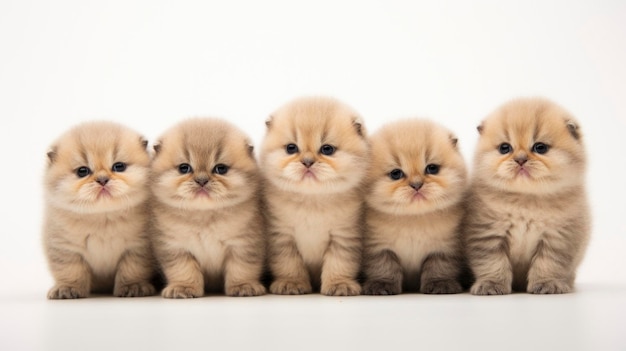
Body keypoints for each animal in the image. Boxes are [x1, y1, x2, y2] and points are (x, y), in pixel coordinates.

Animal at [43, 121, 155, 300]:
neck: (103, 217)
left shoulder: (138, 247)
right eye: (82, 171)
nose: (102, 179)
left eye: (119, 166)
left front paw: (133, 287)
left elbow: (132, 269)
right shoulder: (65, 248)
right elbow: (70, 270)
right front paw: (67, 288)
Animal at [153, 119, 266, 300]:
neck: (204, 216)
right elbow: (183, 270)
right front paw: (183, 287)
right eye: (184, 168)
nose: (201, 180)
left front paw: (243, 286)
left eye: (221, 168)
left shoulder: (244, 245)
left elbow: (242, 268)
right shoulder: (176, 248)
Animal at [260, 96, 368, 296]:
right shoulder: (282, 236)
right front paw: (291, 283)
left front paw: (339, 284)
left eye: (327, 149)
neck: (312, 201)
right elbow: (289, 263)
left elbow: (339, 263)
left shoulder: (344, 236)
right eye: (291, 148)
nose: (308, 162)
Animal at [360, 119, 464, 296]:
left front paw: (440, 284)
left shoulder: (444, 248)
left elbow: (439, 267)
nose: (417, 185)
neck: (414, 219)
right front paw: (381, 285)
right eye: (396, 173)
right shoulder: (379, 248)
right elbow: (384, 267)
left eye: (432, 168)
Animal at [464, 97, 588, 296]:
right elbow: (493, 264)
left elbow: (548, 264)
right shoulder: (487, 235)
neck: (526, 200)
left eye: (540, 148)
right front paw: (491, 284)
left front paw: (547, 284)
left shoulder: (557, 239)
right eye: (505, 148)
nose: (521, 159)